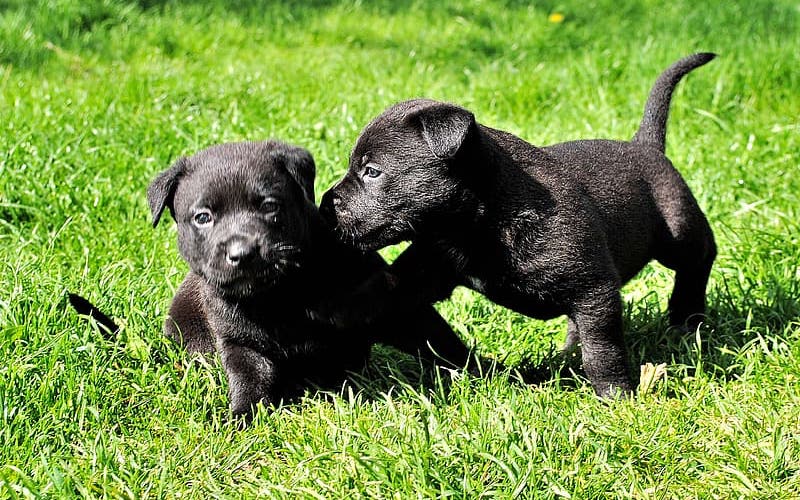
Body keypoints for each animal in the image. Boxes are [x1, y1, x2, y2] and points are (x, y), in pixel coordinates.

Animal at [77, 140, 476, 422]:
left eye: (269, 206)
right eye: (203, 217)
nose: (241, 252)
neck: (280, 292)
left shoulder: (382, 301)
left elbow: (436, 338)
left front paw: (483, 373)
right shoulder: (239, 341)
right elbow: (250, 378)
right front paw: (242, 418)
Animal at [318, 53, 720, 398]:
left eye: (372, 171)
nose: (324, 204)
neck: (480, 226)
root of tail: (645, 146)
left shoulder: (594, 289)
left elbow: (602, 349)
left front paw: (616, 395)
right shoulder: (428, 266)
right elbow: (382, 291)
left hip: (677, 229)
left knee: (699, 258)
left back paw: (687, 318)